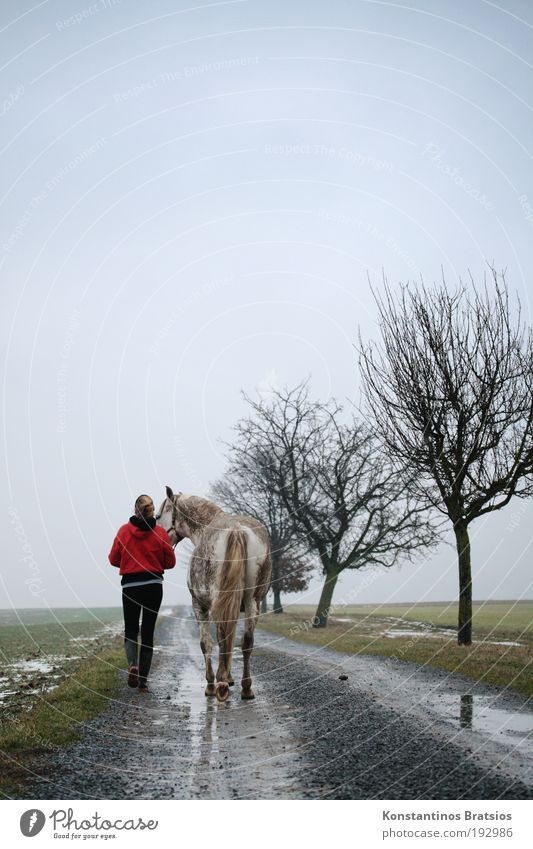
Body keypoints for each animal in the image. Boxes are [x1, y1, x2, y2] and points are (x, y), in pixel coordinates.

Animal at [154, 486, 270, 700]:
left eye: (158, 516)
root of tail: (236, 529)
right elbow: (228, 639)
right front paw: (228, 677)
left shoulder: (200, 605)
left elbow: (207, 643)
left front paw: (212, 682)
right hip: (252, 601)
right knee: (247, 641)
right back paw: (246, 688)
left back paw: (220, 685)